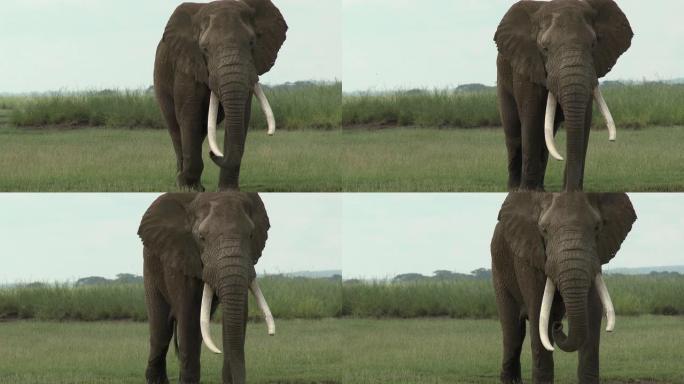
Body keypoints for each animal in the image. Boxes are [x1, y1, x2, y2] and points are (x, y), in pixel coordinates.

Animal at [139, 194, 276, 382]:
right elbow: (188, 316)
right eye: (201, 237)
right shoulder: (182, 257)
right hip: (151, 268)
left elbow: (239, 315)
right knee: (161, 333)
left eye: (251, 235)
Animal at [154, 0, 288, 192]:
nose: (213, 153)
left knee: (202, 129)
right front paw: (190, 189)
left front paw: (228, 190)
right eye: (204, 49)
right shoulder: (186, 67)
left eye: (251, 43)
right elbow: (189, 115)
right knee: (176, 128)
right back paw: (182, 184)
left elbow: (242, 116)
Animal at [492, 194, 636, 382]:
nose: (559, 326)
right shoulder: (528, 256)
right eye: (544, 230)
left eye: (597, 228)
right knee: (513, 334)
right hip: (499, 272)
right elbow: (537, 312)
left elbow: (592, 311)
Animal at [494, 0, 632, 191]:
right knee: (513, 133)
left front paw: (572, 192)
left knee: (546, 137)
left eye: (593, 45)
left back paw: (541, 189)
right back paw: (515, 189)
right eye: (544, 48)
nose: (569, 190)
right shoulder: (526, 66)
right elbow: (531, 118)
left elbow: (584, 119)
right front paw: (527, 192)